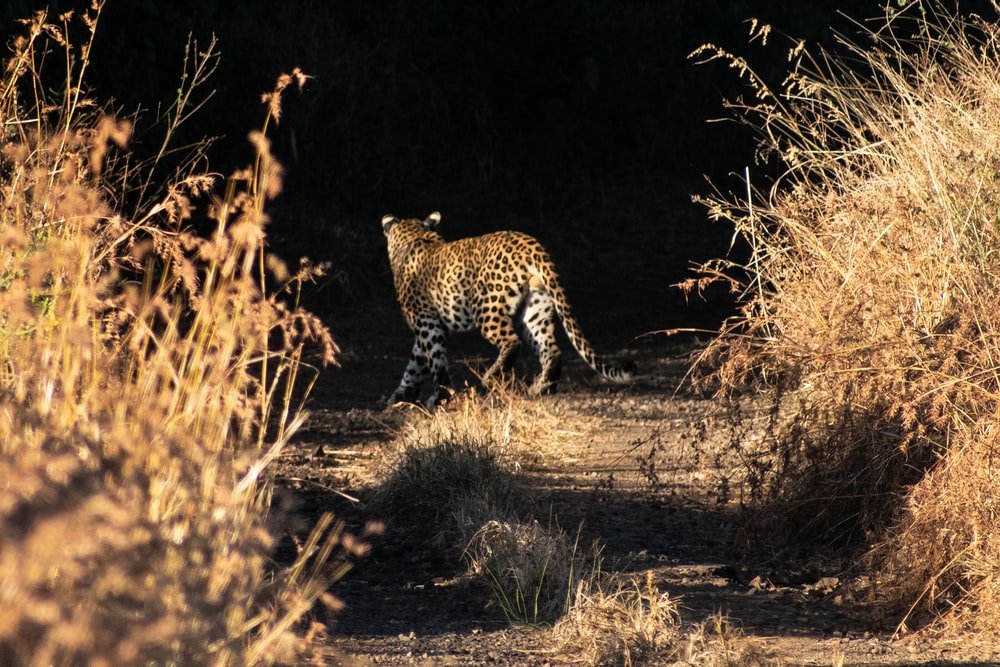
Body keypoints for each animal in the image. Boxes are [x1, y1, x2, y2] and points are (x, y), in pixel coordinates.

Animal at [381, 211, 635, 408]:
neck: (415, 236)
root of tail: (532, 245)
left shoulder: (427, 323)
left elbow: (434, 361)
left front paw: (441, 396)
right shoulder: (430, 325)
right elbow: (415, 364)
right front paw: (401, 395)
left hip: (485, 305)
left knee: (512, 341)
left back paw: (492, 377)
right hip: (535, 307)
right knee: (551, 349)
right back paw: (542, 387)